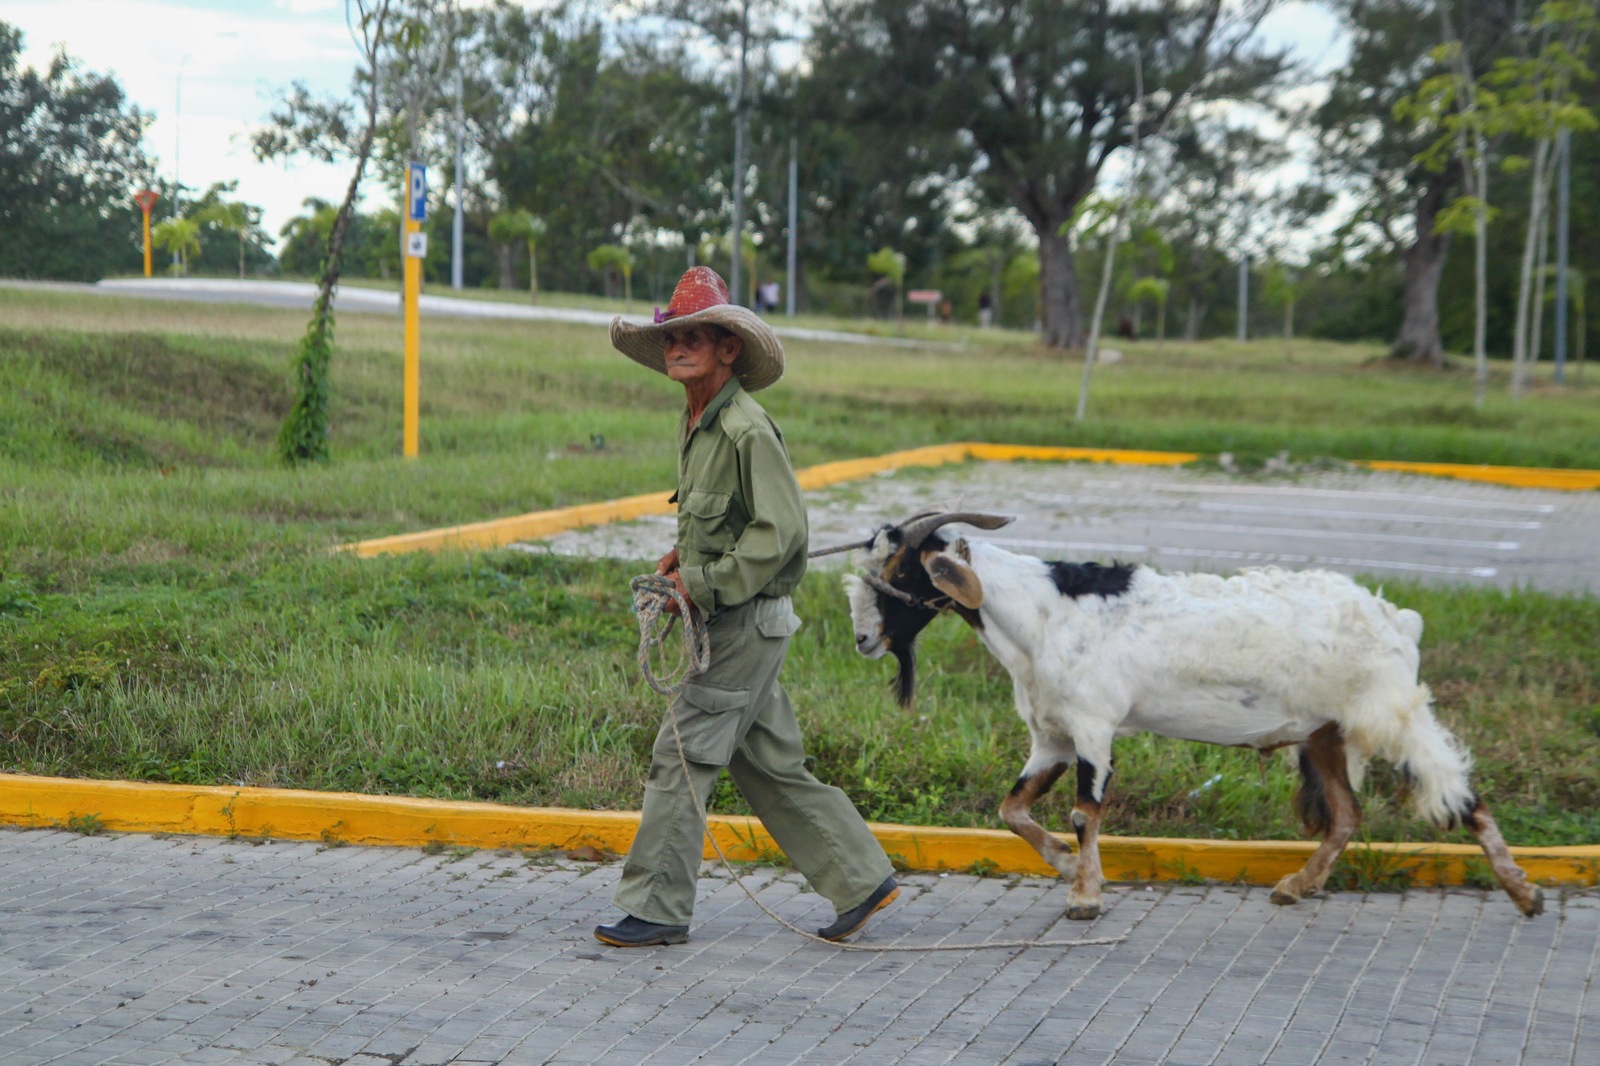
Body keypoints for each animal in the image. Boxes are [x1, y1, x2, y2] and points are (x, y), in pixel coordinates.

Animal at [844, 505, 1542, 915]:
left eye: (900, 571)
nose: (863, 639)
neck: (1042, 614)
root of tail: (1396, 617)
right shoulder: (1052, 735)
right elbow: (1011, 810)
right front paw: (1069, 867)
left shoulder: (1094, 725)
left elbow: (1083, 811)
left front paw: (1085, 895)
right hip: (1325, 731)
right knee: (1346, 816)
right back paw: (1295, 887)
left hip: (1388, 710)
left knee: (1457, 790)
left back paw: (1523, 891)